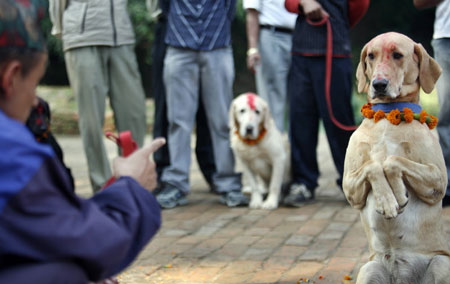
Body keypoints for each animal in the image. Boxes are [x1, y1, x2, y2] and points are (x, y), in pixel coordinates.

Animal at [342, 32, 448, 282]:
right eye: (371, 56)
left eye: (398, 55)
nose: (378, 84)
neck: (388, 116)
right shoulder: (349, 186)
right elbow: (373, 165)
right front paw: (388, 201)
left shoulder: (438, 179)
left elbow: (392, 161)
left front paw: (398, 194)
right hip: (369, 269)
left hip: (442, 263)